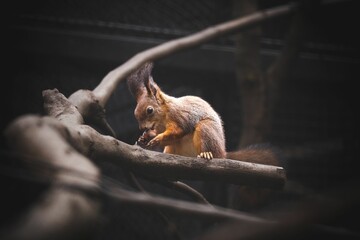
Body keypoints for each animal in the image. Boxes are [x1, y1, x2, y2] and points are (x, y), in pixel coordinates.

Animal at [126, 62, 282, 167]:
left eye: (149, 110)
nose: (142, 128)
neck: (162, 118)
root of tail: (223, 154)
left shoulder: (180, 117)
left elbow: (177, 131)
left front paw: (157, 138)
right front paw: (144, 137)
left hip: (206, 130)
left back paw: (207, 154)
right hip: (174, 148)